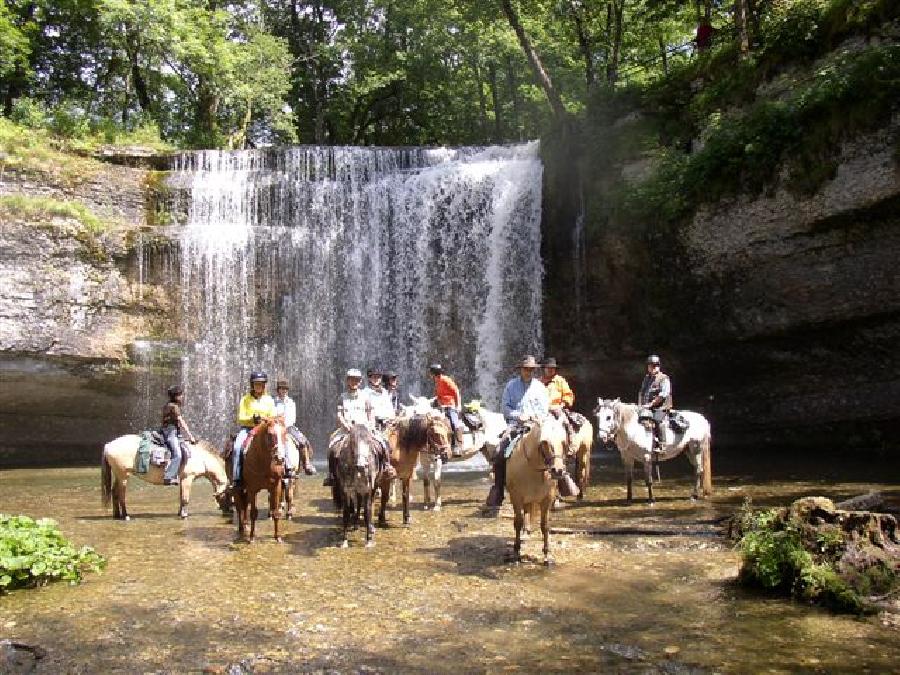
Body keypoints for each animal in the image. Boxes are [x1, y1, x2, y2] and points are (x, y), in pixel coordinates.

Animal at [100, 438, 229, 524]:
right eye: (228, 494)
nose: (228, 513)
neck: (200, 457)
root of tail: (108, 445)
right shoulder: (187, 478)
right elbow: (185, 499)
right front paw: (184, 515)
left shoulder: (182, 480)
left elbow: (181, 498)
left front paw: (180, 513)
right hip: (123, 476)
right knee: (121, 495)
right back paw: (126, 515)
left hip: (119, 475)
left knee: (114, 492)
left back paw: (117, 515)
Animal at [502, 418, 568, 564]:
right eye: (545, 442)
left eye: (563, 442)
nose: (558, 470)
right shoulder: (516, 497)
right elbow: (517, 522)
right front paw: (516, 552)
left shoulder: (547, 499)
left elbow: (545, 525)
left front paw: (547, 555)